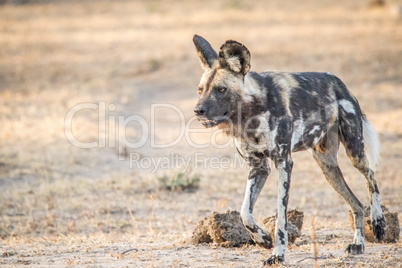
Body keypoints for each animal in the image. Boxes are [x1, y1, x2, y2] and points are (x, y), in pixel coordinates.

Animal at [192, 34, 386, 264]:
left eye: (221, 89)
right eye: (200, 90)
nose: (198, 110)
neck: (250, 114)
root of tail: (341, 84)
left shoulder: (284, 163)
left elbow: (281, 217)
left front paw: (278, 254)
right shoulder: (259, 168)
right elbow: (244, 213)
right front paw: (262, 238)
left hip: (354, 152)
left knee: (371, 176)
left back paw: (379, 222)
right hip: (327, 166)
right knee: (356, 203)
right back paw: (358, 243)